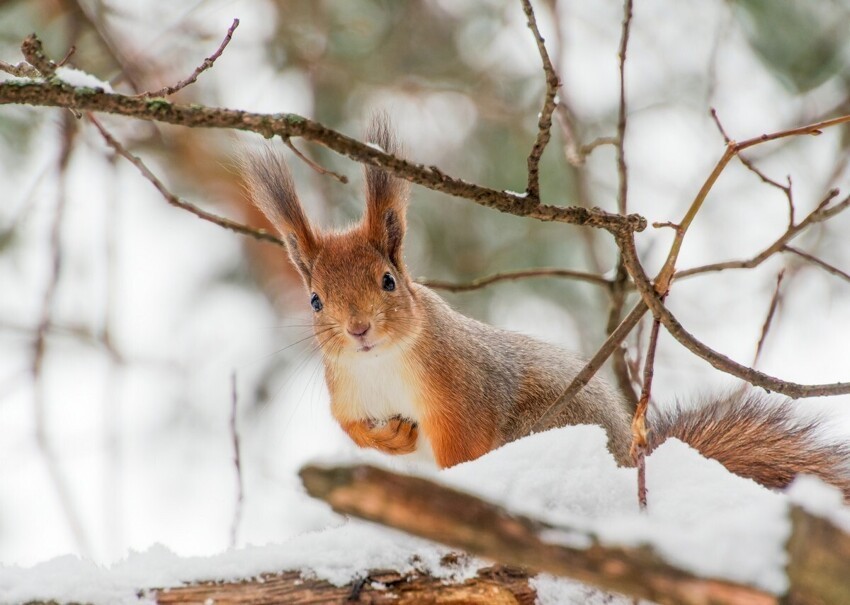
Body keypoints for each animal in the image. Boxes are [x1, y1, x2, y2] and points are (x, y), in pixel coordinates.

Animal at [240, 120, 848, 498]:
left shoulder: (459, 389)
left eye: (389, 282)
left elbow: (463, 447)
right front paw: (390, 439)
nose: (359, 329)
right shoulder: (345, 392)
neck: (380, 363)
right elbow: (352, 430)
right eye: (315, 300)